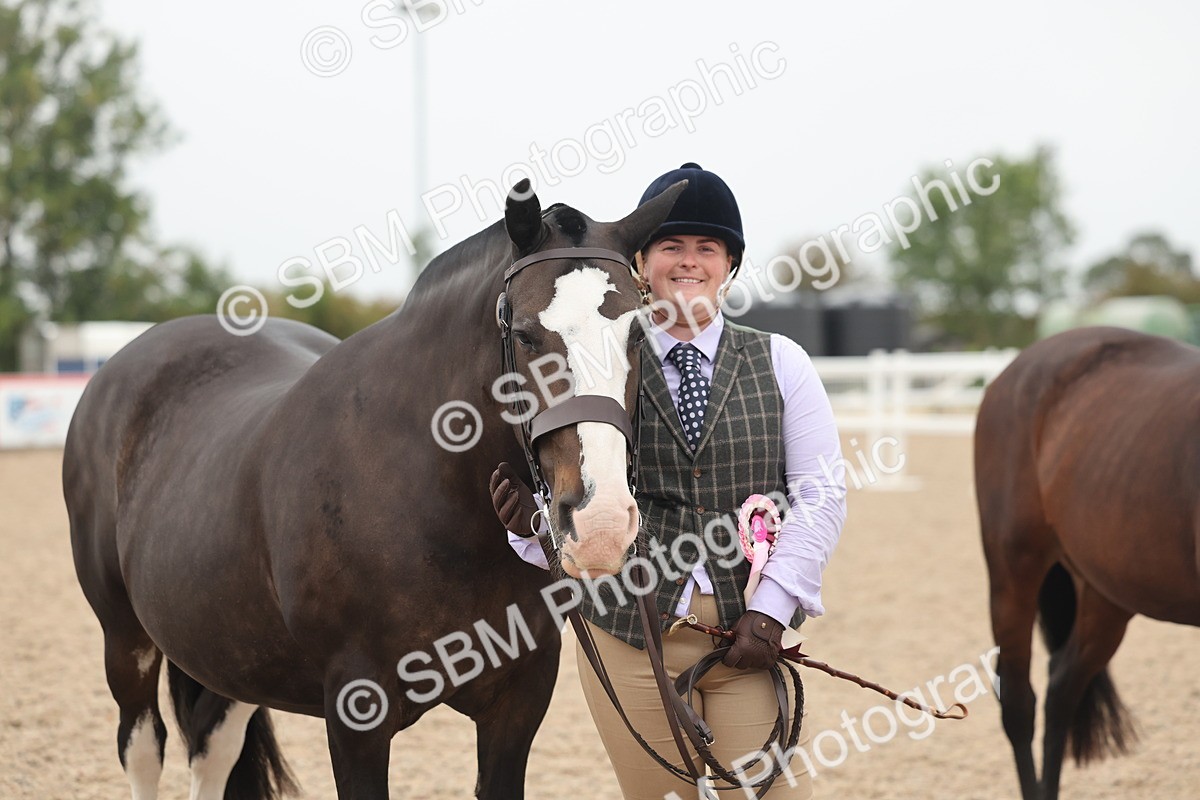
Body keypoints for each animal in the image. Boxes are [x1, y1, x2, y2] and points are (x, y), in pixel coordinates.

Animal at [63, 178, 686, 799]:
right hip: (126, 641)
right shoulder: (355, 716)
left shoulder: (517, 705)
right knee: (144, 748)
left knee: (213, 751)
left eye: (637, 334)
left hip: (230, 648)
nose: (602, 523)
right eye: (527, 335)